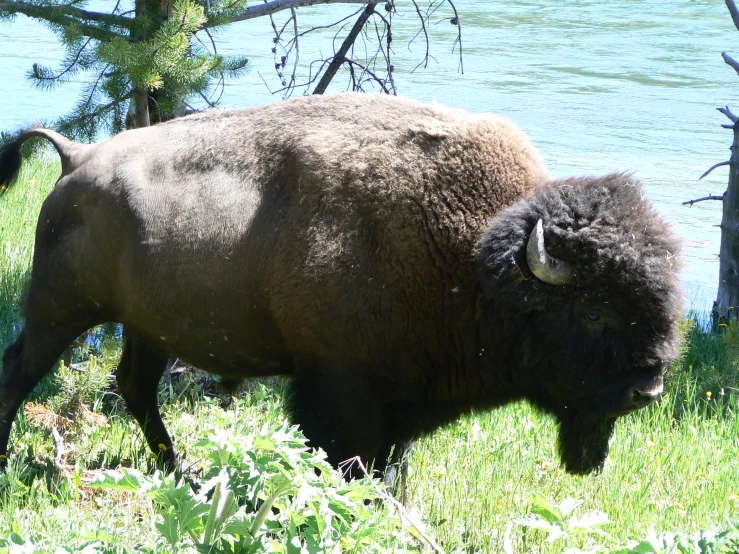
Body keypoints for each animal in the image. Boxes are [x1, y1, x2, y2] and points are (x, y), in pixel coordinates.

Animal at [0, 91, 684, 478]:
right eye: (593, 311)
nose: (647, 389)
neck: (476, 260)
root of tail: (76, 156)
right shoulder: (341, 390)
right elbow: (349, 460)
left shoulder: (397, 402)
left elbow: (390, 467)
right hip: (61, 308)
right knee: (20, 369)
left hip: (147, 326)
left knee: (135, 387)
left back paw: (178, 468)